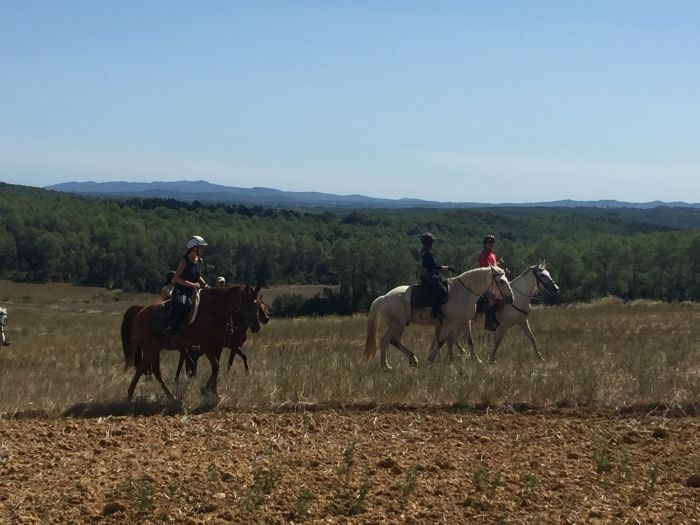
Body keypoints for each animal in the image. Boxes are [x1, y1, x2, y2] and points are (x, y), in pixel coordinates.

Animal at [121, 284, 262, 400]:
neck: (213, 311)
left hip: (154, 349)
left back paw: (136, 394)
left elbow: (216, 366)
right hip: (152, 348)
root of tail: (140, 311)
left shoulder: (217, 344)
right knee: (150, 369)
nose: (257, 326)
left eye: (258, 304)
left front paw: (213, 392)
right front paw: (206, 389)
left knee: (148, 368)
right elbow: (215, 365)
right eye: (249, 303)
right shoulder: (205, 345)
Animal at [366, 266, 516, 368]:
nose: (511, 299)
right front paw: (431, 359)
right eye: (502, 281)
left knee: (387, 341)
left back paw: (393, 364)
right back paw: (403, 361)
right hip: (398, 324)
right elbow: (442, 340)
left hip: (395, 324)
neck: (464, 293)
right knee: (390, 340)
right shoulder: (449, 324)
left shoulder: (463, 322)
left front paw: (475, 360)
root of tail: (384, 297)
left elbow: (467, 340)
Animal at [426, 260, 556, 364]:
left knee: (449, 338)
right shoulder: (503, 326)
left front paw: (540, 358)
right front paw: (491, 359)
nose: (556, 288)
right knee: (449, 338)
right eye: (543, 275)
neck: (519, 298)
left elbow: (532, 338)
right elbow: (497, 342)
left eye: (548, 273)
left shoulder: (523, 322)